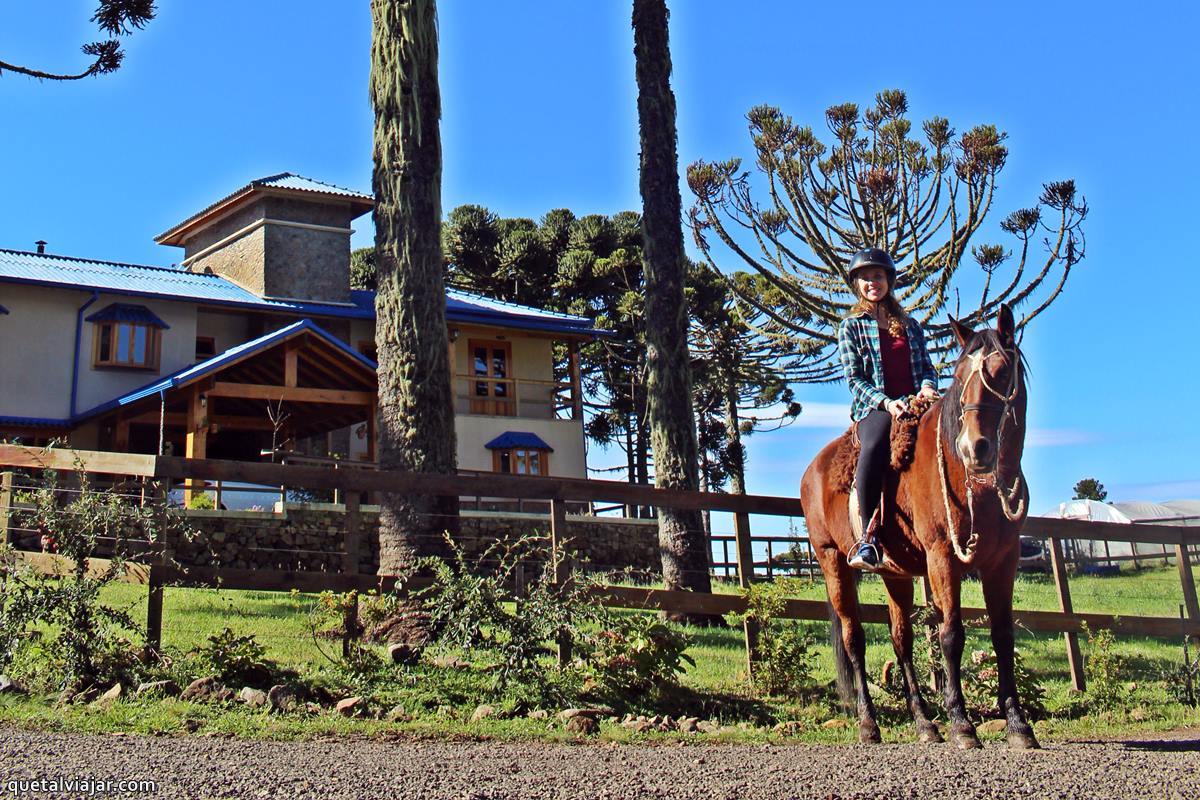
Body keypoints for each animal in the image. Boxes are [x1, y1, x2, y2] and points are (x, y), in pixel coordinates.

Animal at [801, 304, 1036, 753]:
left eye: (1001, 372)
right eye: (959, 376)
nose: (973, 448)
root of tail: (813, 469)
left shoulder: (1004, 560)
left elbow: (1003, 636)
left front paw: (1018, 725)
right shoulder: (943, 556)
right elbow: (950, 635)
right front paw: (962, 724)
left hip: (894, 574)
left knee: (901, 639)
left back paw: (925, 723)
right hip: (832, 561)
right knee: (854, 639)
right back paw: (869, 724)